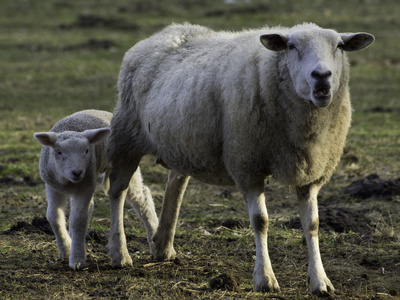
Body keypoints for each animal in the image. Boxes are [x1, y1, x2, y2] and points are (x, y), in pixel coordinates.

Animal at [33, 109, 158, 270]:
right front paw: (66, 249)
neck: (67, 181)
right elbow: (53, 216)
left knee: (141, 198)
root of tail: (105, 112)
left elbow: (78, 220)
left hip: (125, 162)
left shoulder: (86, 185)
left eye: (87, 150)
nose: (77, 172)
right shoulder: (53, 186)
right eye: (59, 152)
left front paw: (77, 259)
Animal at [107, 22, 376, 294]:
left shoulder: (311, 171)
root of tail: (167, 31)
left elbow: (312, 224)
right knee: (118, 191)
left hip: (182, 145)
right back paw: (120, 254)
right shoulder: (247, 165)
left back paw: (163, 247)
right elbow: (260, 221)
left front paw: (320, 280)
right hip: (125, 135)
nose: (321, 75)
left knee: (175, 184)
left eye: (339, 46)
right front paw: (265, 279)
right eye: (291, 46)